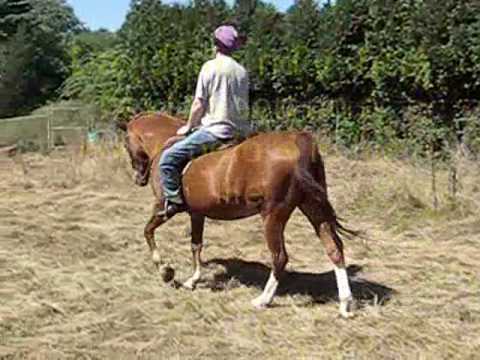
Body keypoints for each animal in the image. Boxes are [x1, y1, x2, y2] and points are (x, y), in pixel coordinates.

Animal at [123, 113, 356, 318]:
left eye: (126, 144)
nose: (138, 179)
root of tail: (298, 143)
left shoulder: (163, 209)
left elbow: (148, 231)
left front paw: (165, 271)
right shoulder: (197, 214)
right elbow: (196, 245)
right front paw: (193, 280)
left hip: (273, 216)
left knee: (280, 257)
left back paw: (263, 300)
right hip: (313, 208)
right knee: (334, 248)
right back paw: (345, 304)